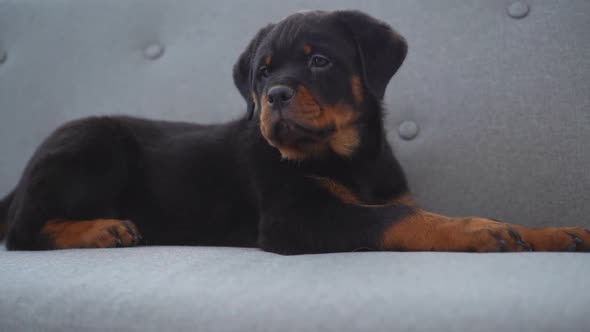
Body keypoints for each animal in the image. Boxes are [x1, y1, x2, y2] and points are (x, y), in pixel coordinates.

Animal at [1, 11, 590, 254]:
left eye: (319, 61)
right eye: (262, 73)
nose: (276, 95)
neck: (348, 158)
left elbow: (409, 210)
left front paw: (554, 233)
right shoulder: (296, 219)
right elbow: (402, 220)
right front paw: (476, 229)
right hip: (97, 145)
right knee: (21, 230)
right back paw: (102, 229)